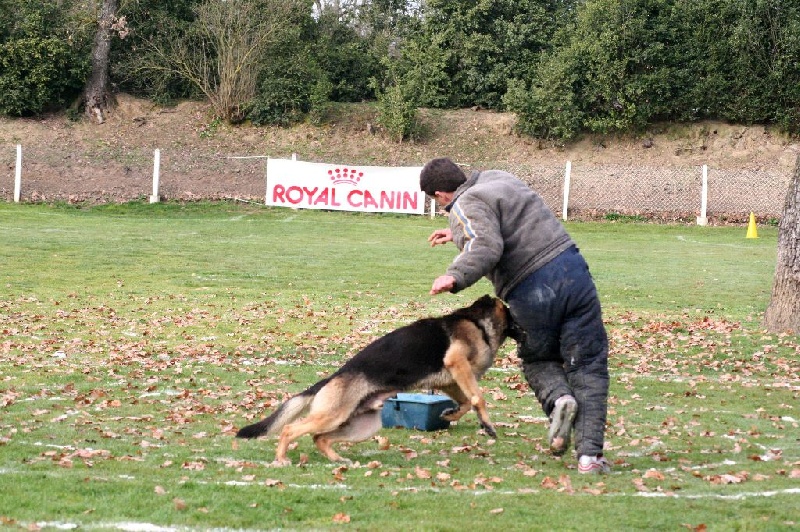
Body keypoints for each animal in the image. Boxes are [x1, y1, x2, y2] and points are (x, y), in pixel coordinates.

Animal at [233, 296, 520, 466]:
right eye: (512, 314)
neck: (477, 322)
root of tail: (332, 377)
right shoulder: (457, 364)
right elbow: (477, 397)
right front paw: (487, 425)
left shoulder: (451, 380)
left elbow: (465, 402)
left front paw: (450, 415)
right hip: (333, 416)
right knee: (291, 429)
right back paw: (281, 458)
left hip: (362, 426)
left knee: (319, 438)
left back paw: (338, 459)